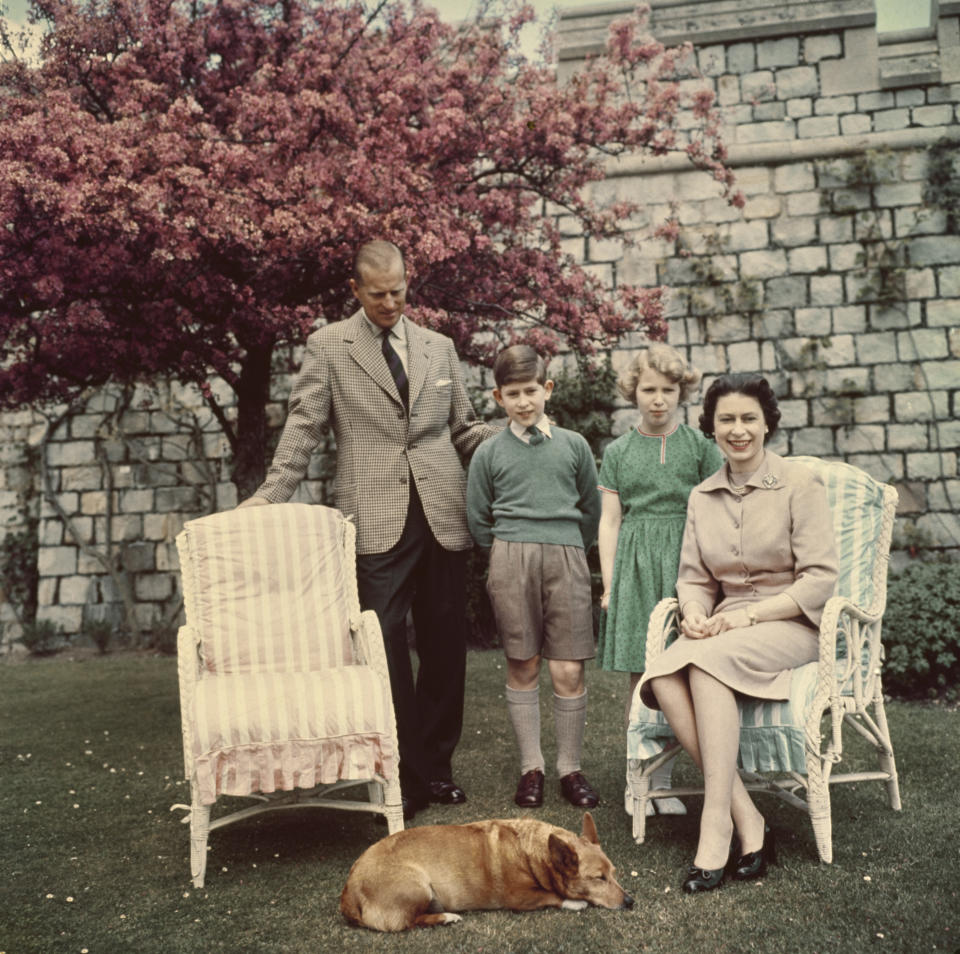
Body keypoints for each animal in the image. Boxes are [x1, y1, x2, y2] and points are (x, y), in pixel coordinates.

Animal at [342, 812, 632, 928]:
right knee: (408, 922)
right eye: (599, 878)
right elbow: (553, 896)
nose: (631, 901)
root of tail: (349, 891)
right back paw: (446, 917)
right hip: (418, 885)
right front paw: (575, 902)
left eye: (615, 873)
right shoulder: (520, 898)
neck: (532, 851)